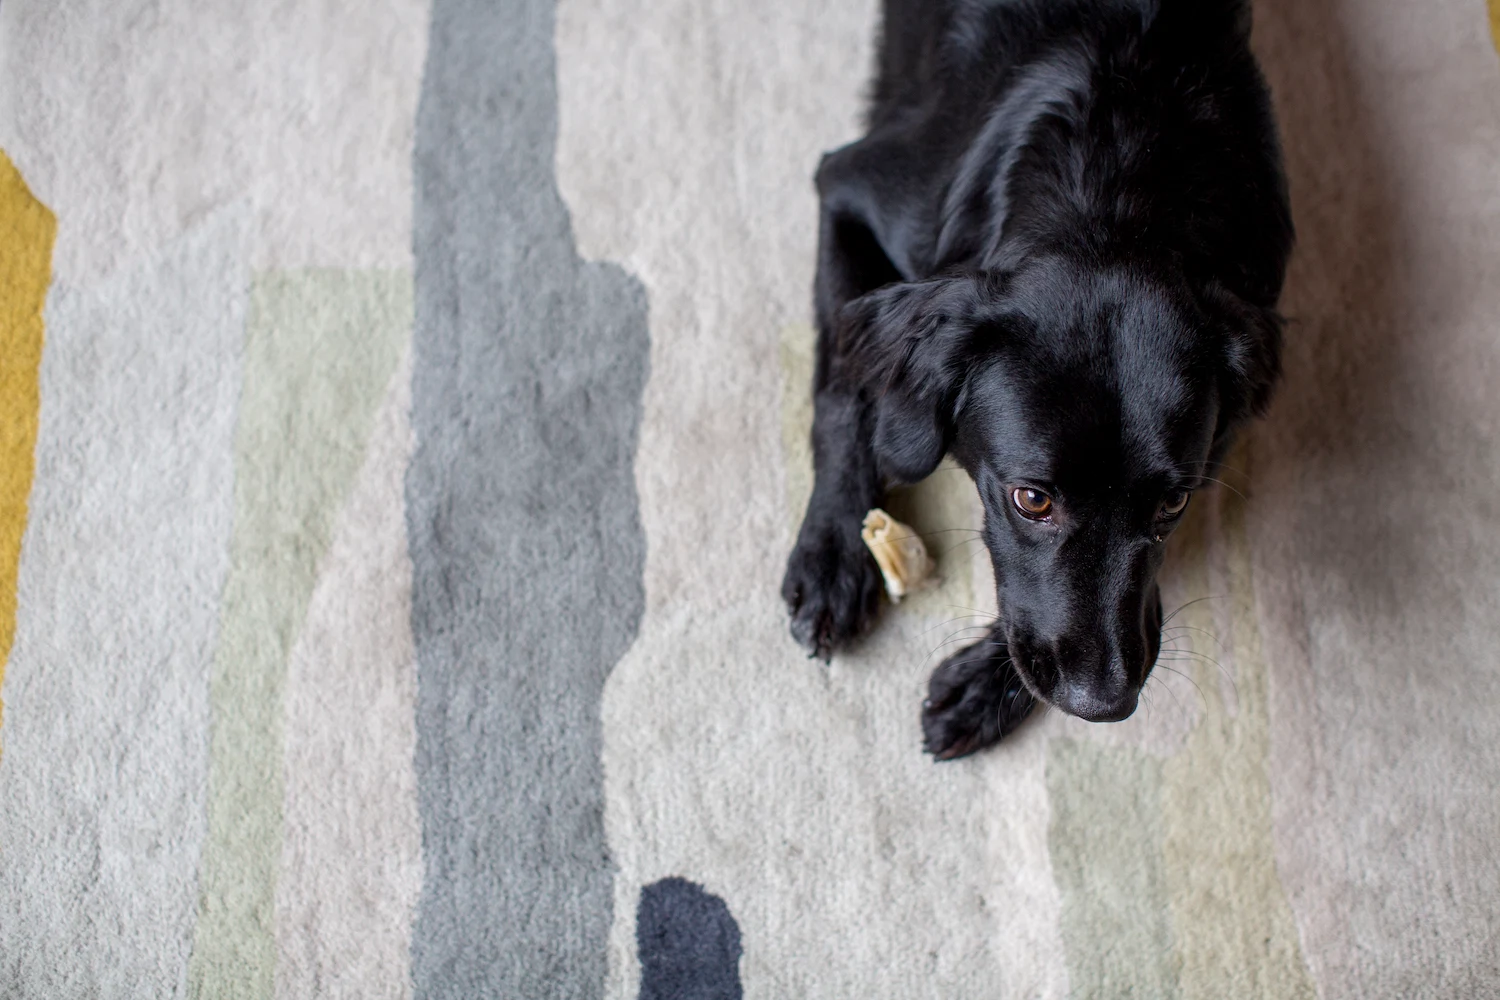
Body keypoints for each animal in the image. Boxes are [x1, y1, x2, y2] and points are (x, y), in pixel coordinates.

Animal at [781, 0, 1293, 759]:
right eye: (1031, 500)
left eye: (1172, 505)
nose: (1102, 703)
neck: (1113, 187)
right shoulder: (847, 188)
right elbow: (845, 392)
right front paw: (834, 552)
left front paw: (987, 686)